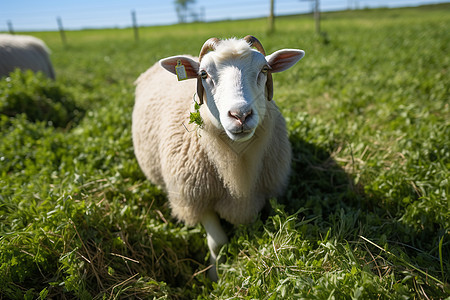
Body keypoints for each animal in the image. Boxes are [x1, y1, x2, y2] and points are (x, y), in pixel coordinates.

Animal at [132, 35, 304, 282]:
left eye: (264, 69)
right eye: (204, 74)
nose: (240, 115)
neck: (237, 160)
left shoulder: (266, 191)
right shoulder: (198, 198)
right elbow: (218, 243)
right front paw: (215, 277)